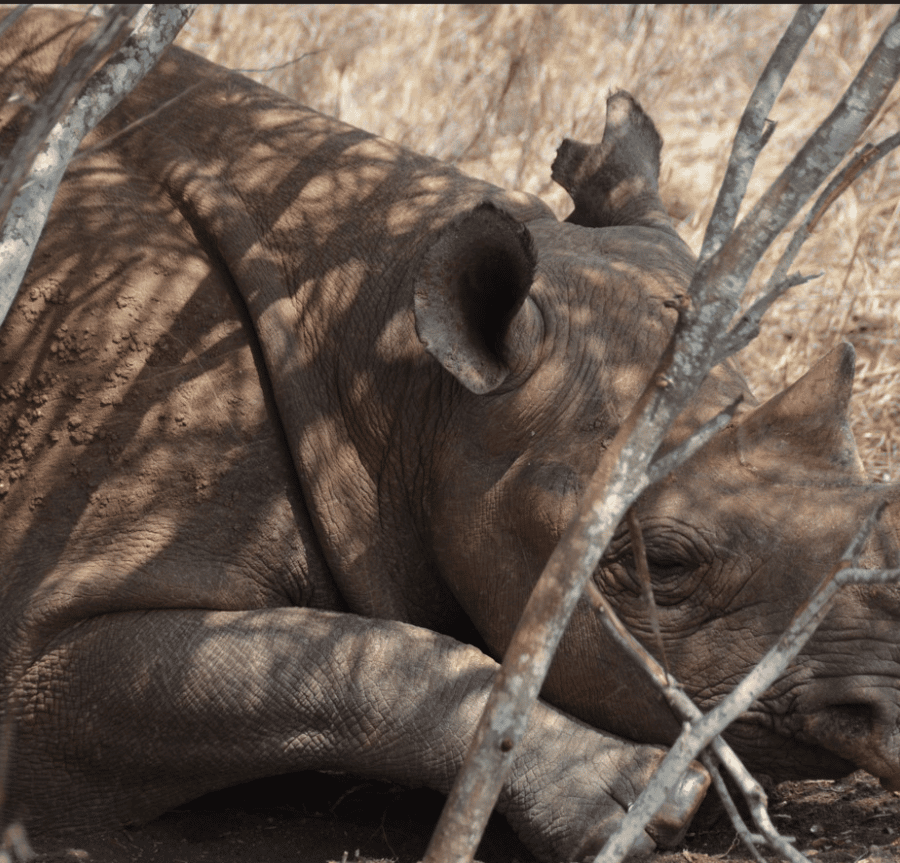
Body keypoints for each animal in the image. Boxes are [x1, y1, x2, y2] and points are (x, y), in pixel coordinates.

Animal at [1, 8, 899, 862]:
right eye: (665, 564)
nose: (895, 699)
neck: (393, 369)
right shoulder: (52, 636)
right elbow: (363, 658)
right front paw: (643, 805)